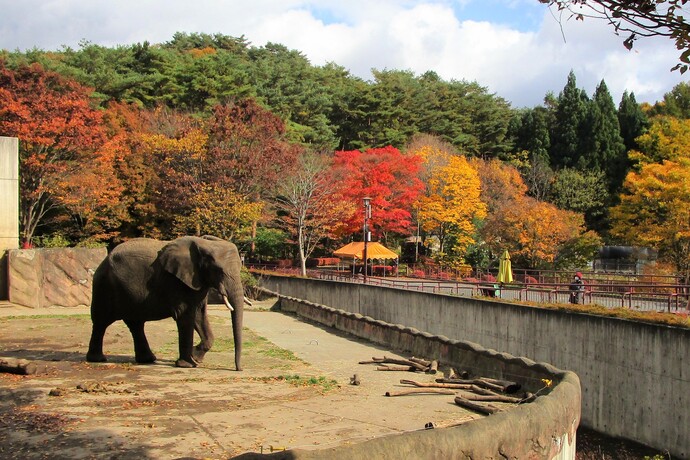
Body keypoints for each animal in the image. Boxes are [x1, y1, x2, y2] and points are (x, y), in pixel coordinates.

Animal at [84, 237, 249, 370]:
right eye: (219, 270)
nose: (238, 369)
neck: (204, 243)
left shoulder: (197, 281)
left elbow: (199, 314)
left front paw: (196, 358)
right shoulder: (175, 282)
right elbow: (185, 315)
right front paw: (187, 364)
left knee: (135, 324)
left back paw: (147, 360)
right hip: (104, 285)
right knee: (101, 322)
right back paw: (97, 359)